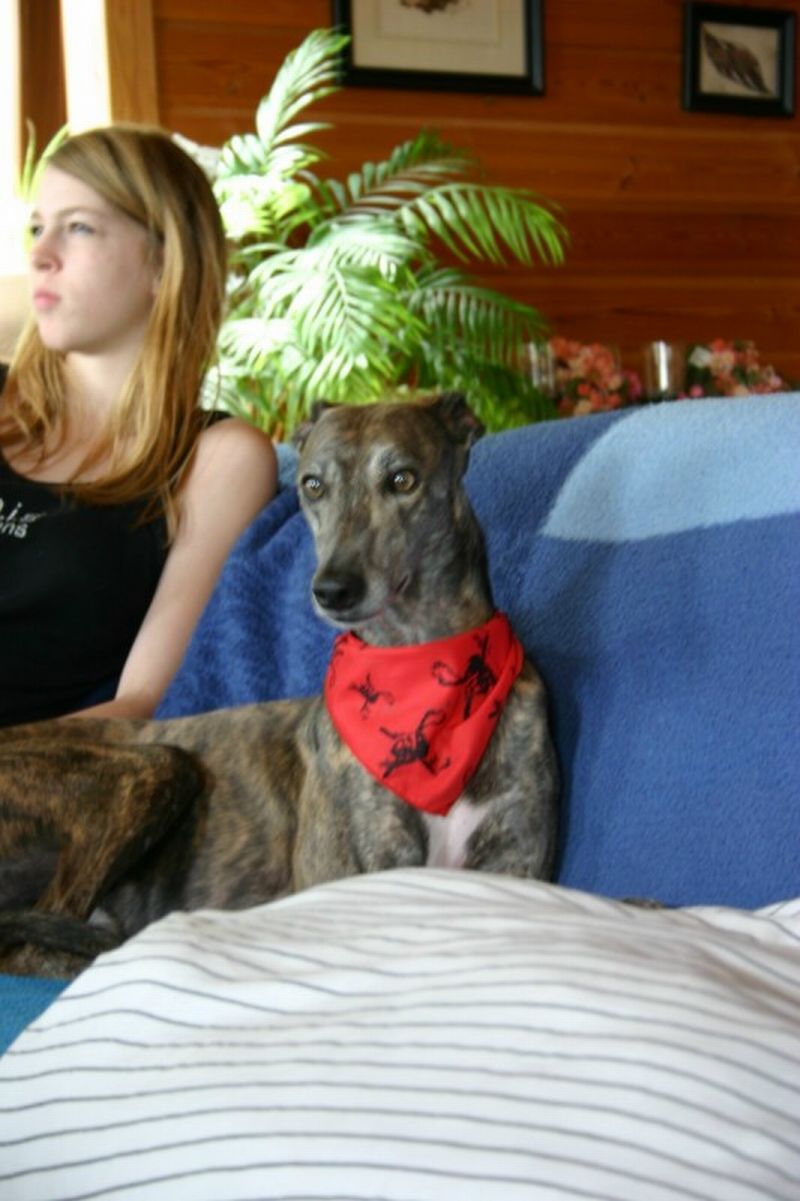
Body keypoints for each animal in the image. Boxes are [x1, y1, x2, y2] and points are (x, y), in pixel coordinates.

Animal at [0, 393, 559, 977]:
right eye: (312, 485)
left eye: (402, 479)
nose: (333, 590)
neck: (417, 661)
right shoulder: (355, 882)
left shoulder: (514, 870)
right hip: (152, 767)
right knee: (32, 946)